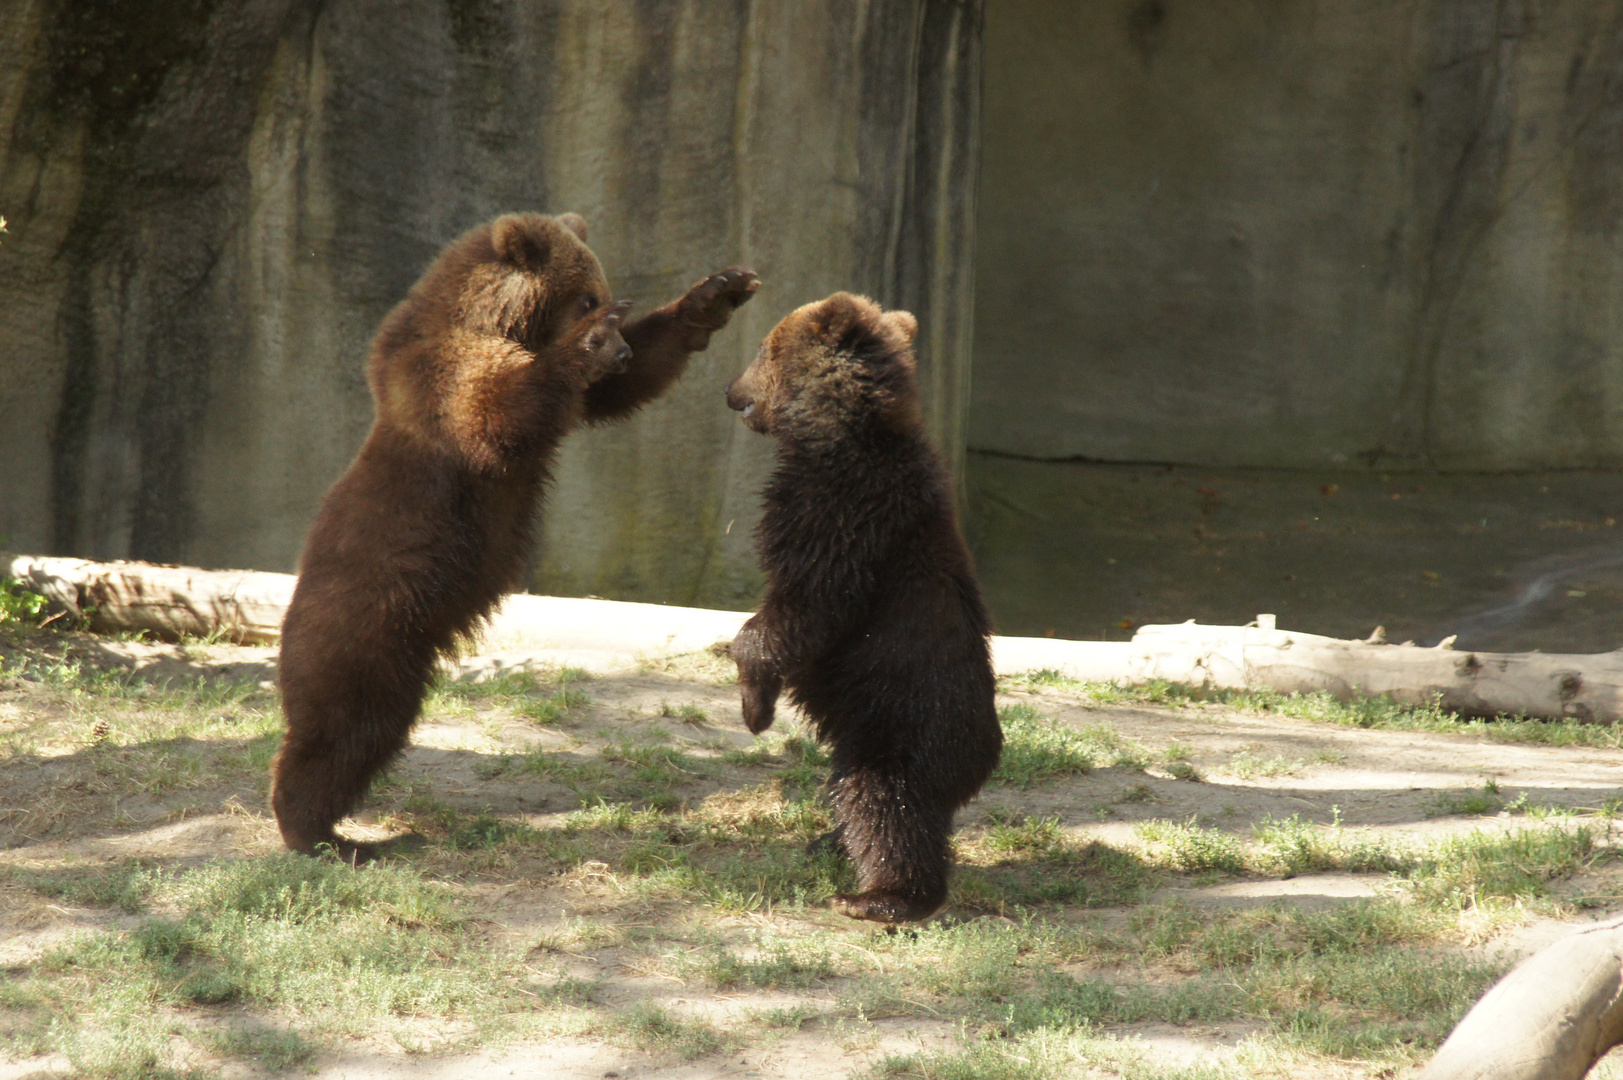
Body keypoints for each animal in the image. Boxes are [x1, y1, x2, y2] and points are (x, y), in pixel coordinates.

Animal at [272, 212, 759, 857]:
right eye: (588, 298)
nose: (620, 348)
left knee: (373, 732)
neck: (495, 320)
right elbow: (494, 412)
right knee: (340, 725)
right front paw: (591, 342)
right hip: (367, 619)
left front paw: (718, 291)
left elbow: (619, 386)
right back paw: (319, 832)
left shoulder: (571, 396)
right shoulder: (446, 375)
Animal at [727, 290, 999, 922]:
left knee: (884, 807)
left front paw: (755, 707)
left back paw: (878, 897)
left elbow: (802, 611)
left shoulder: (842, 520)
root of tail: (982, 760)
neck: (838, 436)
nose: (730, 392)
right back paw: (827, 842)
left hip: (902, 728)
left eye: (763, 346)